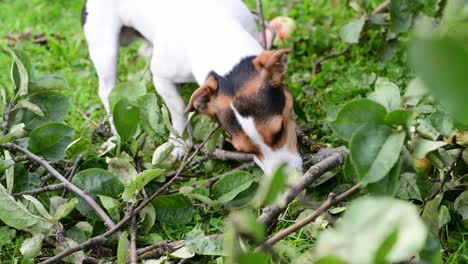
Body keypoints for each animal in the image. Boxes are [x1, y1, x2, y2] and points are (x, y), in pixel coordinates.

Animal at [82, 0, 302, 174]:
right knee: (106, 88)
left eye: (280, 131)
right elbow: (179, 108)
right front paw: (180, 142)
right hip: (105, 47)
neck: (216, 38)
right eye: (245, 151)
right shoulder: (161, 76)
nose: (287, 184)